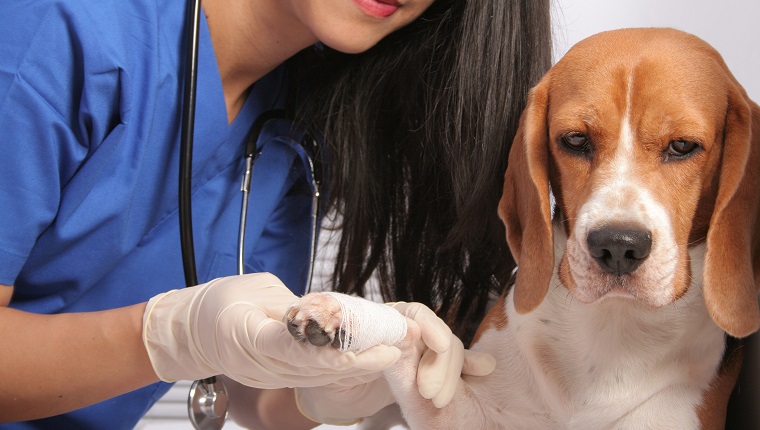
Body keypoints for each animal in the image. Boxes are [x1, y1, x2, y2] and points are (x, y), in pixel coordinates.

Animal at [286, 28, 760, 428]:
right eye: (575, 140)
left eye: (683, 146)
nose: (617, 246)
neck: (613, 324)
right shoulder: (471, 415)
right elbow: (414, 335)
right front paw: (340, 311)